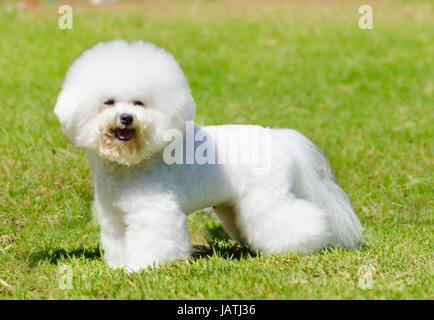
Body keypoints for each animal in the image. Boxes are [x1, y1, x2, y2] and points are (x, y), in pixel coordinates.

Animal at [56, 38, 364, 272]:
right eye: (108, 102)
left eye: (139, 103)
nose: (126, 118)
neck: (132, 162)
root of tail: (278, 138)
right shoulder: (115, 214)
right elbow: (118, 241)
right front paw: (120, 266)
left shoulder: (154, 210)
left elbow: (154, 240)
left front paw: (144, 267)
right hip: (233, 206)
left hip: (267, 197)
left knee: (292, 218)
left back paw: (295, 247)